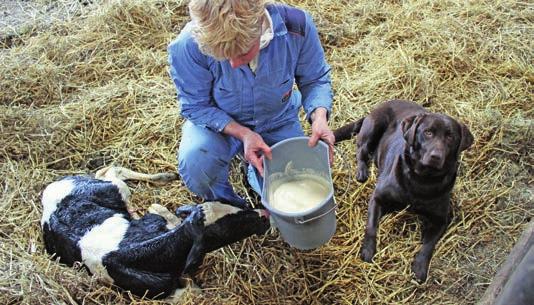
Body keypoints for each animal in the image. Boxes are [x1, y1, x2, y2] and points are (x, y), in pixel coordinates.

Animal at [40, 165, 272, 298]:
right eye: (228, 227)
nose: (263, 215)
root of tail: (52, 188)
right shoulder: (159, 292)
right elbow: (193, 292)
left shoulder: (156, 221)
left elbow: (162, 211)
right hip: (112, 188)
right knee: (111, 171)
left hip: (112, 188)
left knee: (110, 170)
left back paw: (163, 178)